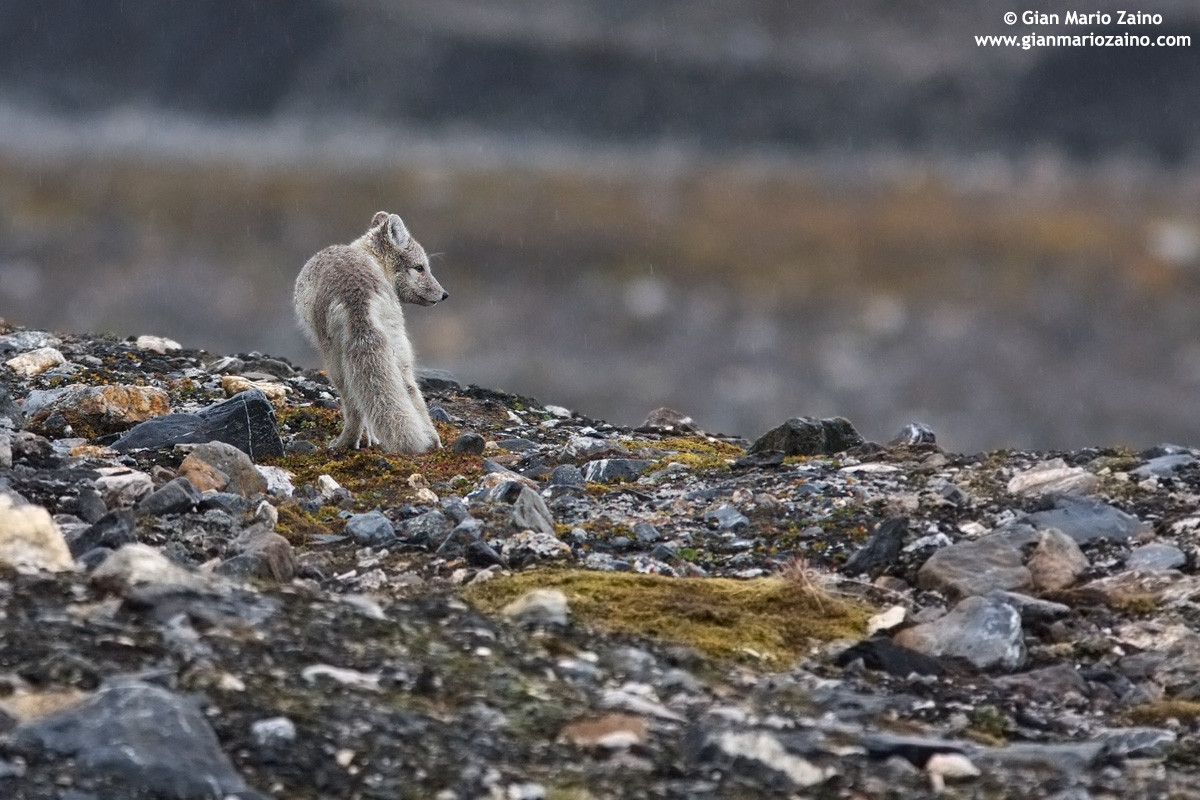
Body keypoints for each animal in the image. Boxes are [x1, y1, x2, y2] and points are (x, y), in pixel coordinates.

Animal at [294, 211, 447, 453]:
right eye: (420, 268)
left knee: (352, 402)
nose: (444, 294)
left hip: (335, 359)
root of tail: (358, 294)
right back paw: (431, 442)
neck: (369, 257)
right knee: (409, 391)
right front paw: (373, 439)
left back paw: (344, 442)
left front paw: (368, 439)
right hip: (398, 348)